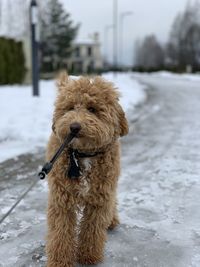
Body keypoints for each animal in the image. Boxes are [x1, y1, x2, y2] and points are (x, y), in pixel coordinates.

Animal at [45, 72, 128, 266]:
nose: (74, 127)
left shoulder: (100, 197)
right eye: (70, 108)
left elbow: (92, 229)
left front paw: (88, 256)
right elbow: (60, 232)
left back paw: (112, 220)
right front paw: (59, 260)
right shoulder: (61, 199)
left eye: (92, 109)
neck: (83, 155)